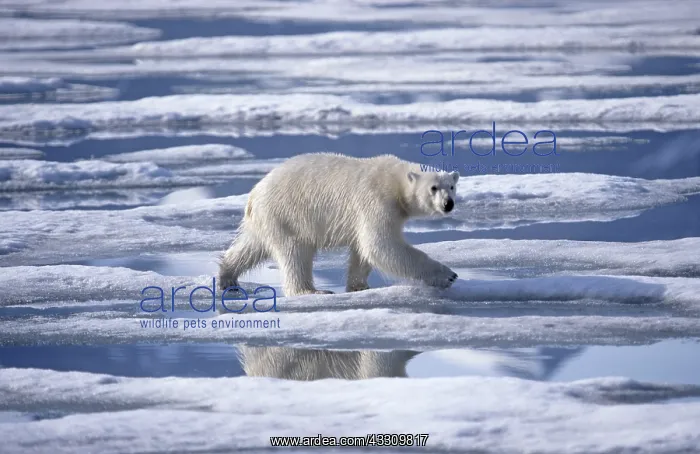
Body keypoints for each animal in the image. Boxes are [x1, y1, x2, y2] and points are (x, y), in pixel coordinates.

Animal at [218, 153, 459, 296]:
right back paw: (311, 291)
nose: (448, 204)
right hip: (286, 215)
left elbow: (363, 250)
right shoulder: (376, 201)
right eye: (434, 188)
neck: (394, 181)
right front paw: (447, 275)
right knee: (295, 253)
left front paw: (358, 286)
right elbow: (381, 246)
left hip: (266, 220)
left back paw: (227, 276)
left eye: (452, 186)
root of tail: (254, 194)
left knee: (251, 247)